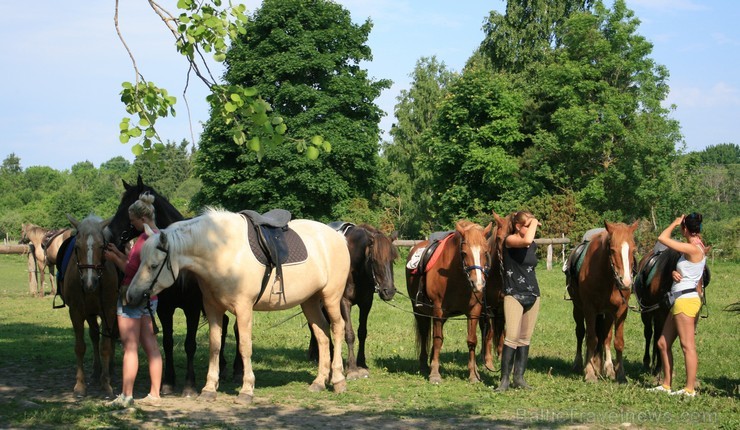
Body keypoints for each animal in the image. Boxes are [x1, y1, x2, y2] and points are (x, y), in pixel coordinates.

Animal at [61, 213, 118, 398]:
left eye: (102, 246)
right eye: (77, 247)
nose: (89, 281)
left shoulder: (109, 311)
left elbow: (105, 346)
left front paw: (106, 383)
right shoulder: (76, 312)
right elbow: (80, 347)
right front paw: (80, 385)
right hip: (90, 313)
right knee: (94, 336)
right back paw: (95, 371)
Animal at [125, 208, 352, 404]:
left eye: (153, 265)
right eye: (139, 259)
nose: (131, 296)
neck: (222, 251)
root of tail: (337, 236)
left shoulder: (243, 310)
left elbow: (244, 346)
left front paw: (246, 390)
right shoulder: (212, 308)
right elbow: (215, 346)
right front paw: (209, 389)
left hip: (331, 297)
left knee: (337, 328)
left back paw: (339, 380)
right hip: (310, 302)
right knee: (322, 335)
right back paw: (319, 382)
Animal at [306, 223, 398, 378]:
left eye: (392, 260)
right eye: (374, 260)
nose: (389, 291)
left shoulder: (366, 303)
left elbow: (362, 332)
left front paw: (362, 363)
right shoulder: (344, 303)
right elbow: (349, 333)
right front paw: (352, 368)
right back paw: (315, 354)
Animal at [404, 220, 492, 384]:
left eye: (485, 252)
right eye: (464, 253)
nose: (478, 284)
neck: (456, 277)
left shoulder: (474, 310)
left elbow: (472, 340)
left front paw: (473, 374)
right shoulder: (438, 309)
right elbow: (438, 339)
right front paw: (434, 374)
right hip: (419, 311)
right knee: (424, 333)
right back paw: (424, 365)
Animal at [568, 222, 640, 382]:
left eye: (633, 249)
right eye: (612, 250)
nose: (626, 282)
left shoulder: (620, 310)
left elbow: (617, 341)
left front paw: (620, 374)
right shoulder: (589, 309)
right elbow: (591, 339)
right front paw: (589, 373)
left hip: (607, 314)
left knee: (606, 338)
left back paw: (608, 368)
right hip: (578, 308)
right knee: (580, 333)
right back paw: (578, 363)